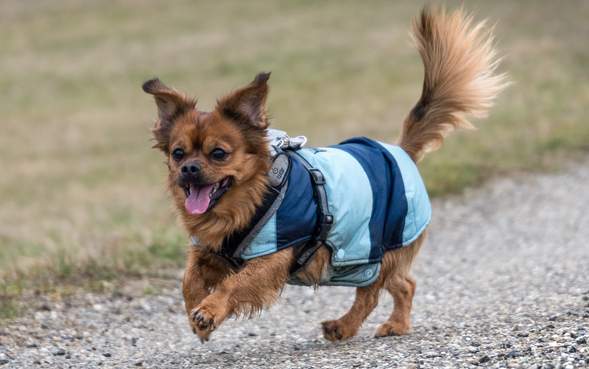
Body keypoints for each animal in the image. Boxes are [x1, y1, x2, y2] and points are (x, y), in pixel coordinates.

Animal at [142, 6, 506, 342]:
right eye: (178, 153)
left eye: (218, 153)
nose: (189, 168)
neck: (246, 203)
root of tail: (400, 150)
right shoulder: (208, 253)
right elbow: (188, 279)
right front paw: (197, 313)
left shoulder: (271, 260)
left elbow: (234, 283)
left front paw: (209, 310)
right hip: (366, 259)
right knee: (404, 284)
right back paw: (392, 324)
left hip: (375, 251)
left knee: (376, 293)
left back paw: (348, 326)